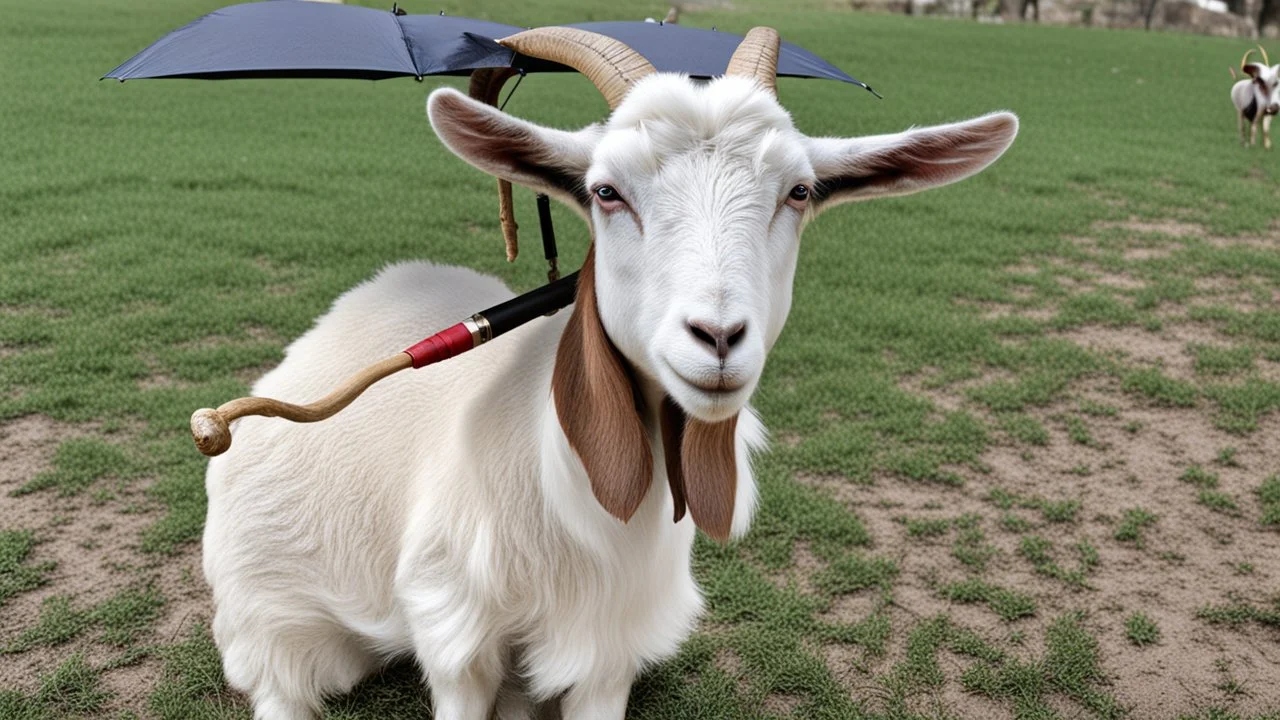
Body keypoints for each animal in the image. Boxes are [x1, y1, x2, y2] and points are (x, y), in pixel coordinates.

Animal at [202, 25, 1018, 712]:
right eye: (606, 191)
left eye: (800, 191)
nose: (718, 337)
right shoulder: (454, 628)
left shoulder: (609, 651)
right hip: (274, 626)